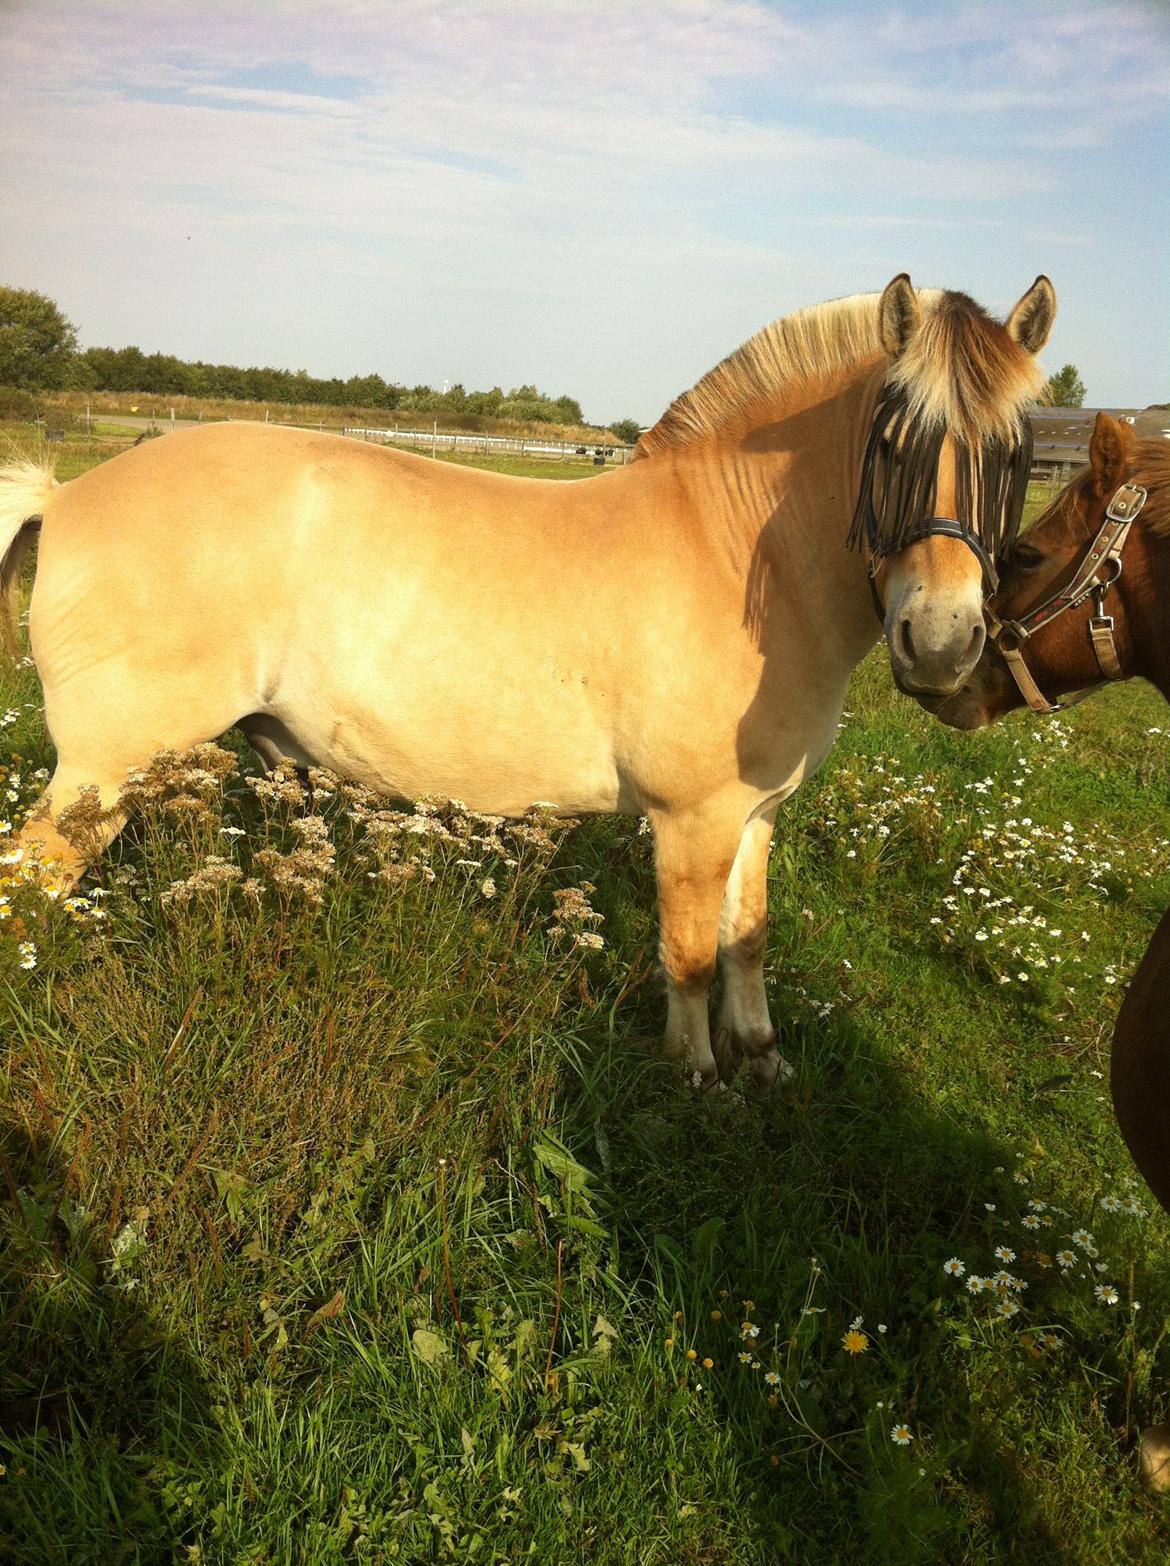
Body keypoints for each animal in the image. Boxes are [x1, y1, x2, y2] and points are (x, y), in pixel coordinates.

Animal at [0, 278, 1058, 1089]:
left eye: (1016, 456)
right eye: (891, 445)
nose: (942, 640)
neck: (731, 550)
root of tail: (66, 493)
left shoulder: (756, 815)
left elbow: (747, 937)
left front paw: (761, 1056)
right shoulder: (693, 820)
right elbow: (688, 953)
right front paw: (698, 1075)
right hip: (103, 774)